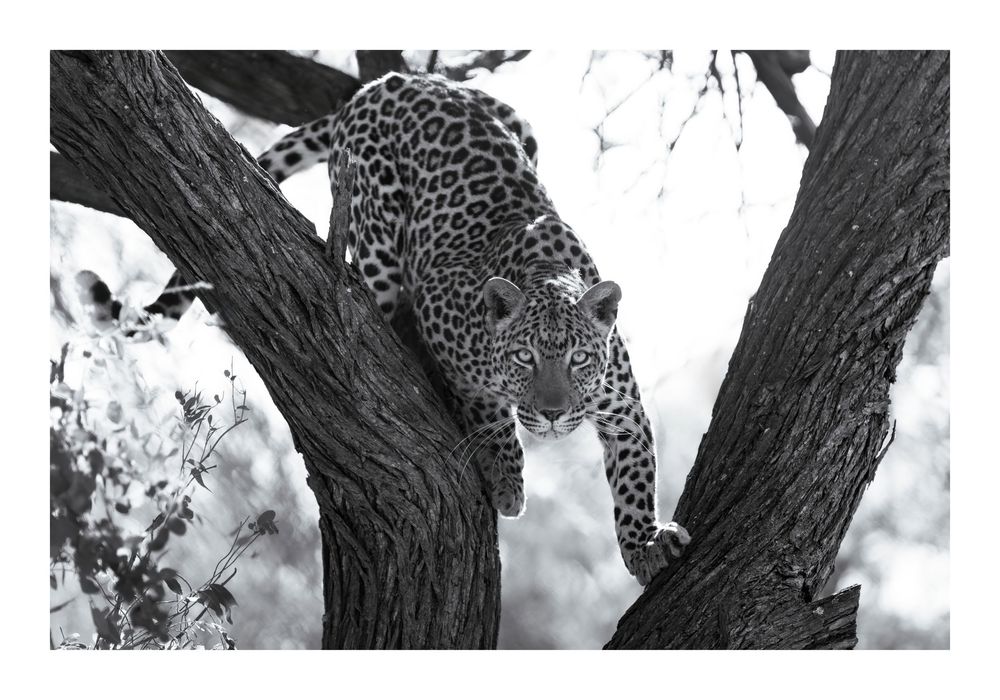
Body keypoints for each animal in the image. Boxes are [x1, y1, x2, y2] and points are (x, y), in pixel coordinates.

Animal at [77, 71, 690, 585]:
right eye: (525, 359)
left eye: (579, 360)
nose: (555, 412)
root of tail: (389, 81)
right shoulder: (447, 323)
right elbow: (486, 409)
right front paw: (507, 479)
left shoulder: (623, 405)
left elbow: (637, 475)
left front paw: (643, 545)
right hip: (376, 229)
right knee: (369, 293)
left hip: (522, 128)